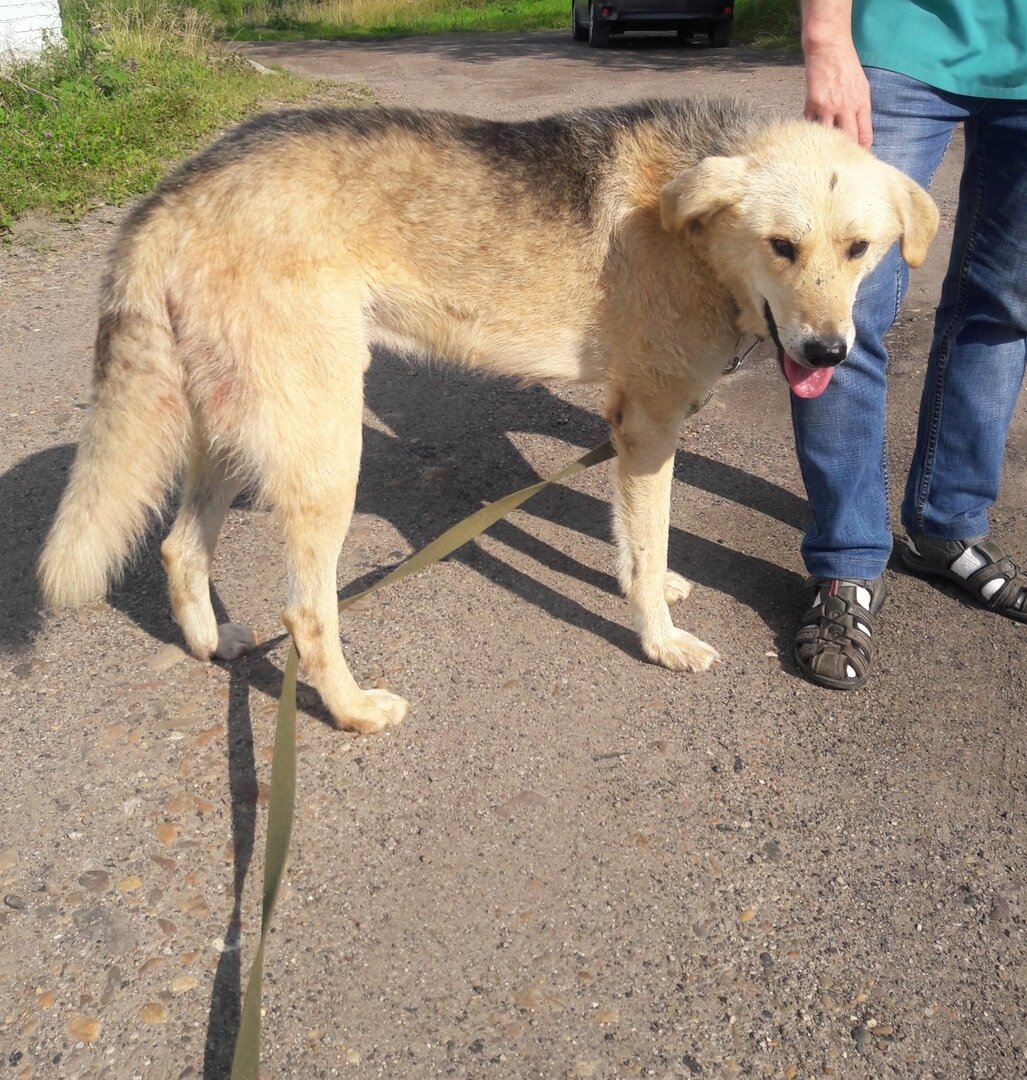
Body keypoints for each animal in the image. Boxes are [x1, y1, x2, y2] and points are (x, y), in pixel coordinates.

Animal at [38, 99, 941, 734]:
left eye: (858, 249)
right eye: (782, 246)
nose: (827, 352)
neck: (692, 223)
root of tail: (179, 188)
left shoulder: (631, 431)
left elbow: (632, 545)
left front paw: (654, 590)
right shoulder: (647, 426)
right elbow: (646, 547)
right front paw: (658, 642)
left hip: (243, 432)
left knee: (179, 547)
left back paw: (210, 643)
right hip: (324, 452)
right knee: (305, 612)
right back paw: (351, 710)